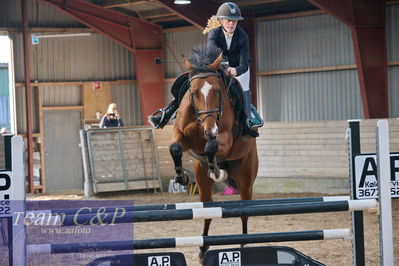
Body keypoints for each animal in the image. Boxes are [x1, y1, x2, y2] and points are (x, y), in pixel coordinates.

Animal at [169, 45, 260, 260]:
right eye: (193, 93)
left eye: (218, 91)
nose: (210, 130)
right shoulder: (181, 134)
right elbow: (175, 147)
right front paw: (181, 177)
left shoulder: (225, 138)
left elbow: (211, 146)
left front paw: (215, 169)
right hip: (202, 182)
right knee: (207, 210)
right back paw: (203, 249)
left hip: (246, 178)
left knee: (244, 212)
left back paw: (244, 246)